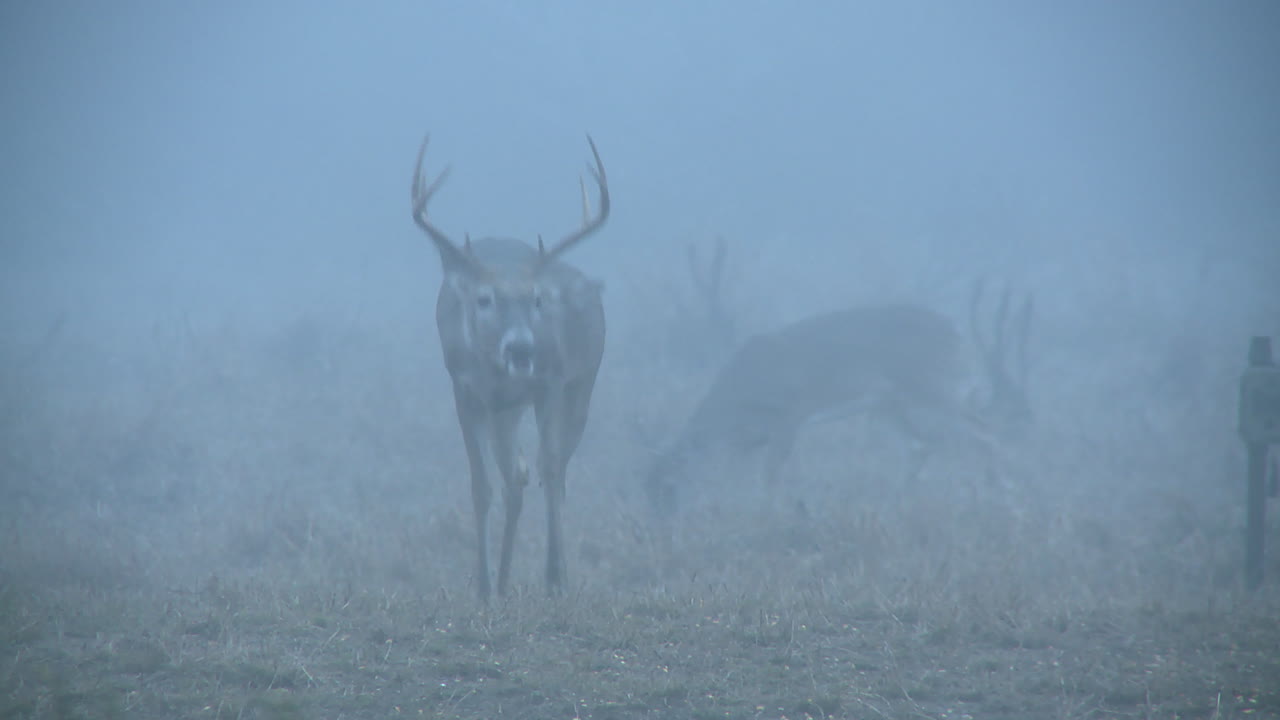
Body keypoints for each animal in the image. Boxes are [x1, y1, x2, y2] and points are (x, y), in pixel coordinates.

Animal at [410, 133, 610, 600]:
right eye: (484, 300)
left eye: (537, 299)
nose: (521, 348)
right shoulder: (466, 391)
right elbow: (481, 486)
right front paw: (483, 589)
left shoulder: (551, 382)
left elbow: (550, 468)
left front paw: (554, 577)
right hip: (505, 412)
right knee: (515, 479)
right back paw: (501, 582)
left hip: (582, 385)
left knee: (554, 471)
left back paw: (552, 573)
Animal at [644, 283, 1033, 516]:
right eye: (646, 487)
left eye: (669, 485)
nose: (659, 521)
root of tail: (956, 332)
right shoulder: (748, 440)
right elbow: (737, 472)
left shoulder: (792, 414)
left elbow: (770, 474)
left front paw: (767, 513)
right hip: (889, 401)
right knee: (920, 444)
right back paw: (897, 502)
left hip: (933, 387)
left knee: (983, 430)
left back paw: (1008, 496)